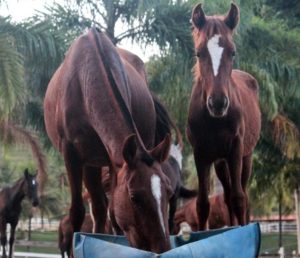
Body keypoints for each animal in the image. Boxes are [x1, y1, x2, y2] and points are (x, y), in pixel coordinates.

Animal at [43, 28, 172, 254]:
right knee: (97, 207)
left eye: (169, 192)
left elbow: (114, 214)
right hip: (89, 162)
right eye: (134, 197)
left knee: (103, 208)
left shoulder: (115, 158)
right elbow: (77, 211)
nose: (162, 248)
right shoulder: (71, 154)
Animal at [186, 3, 262, 230]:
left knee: (242, 195)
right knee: (227, 195)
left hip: (245, 158)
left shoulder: (236, 150)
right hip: (220, 162)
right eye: (199, 53)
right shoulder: (201, 153)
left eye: (233, 52)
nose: (218, 103)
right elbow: (202, 204)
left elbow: (239, 198)